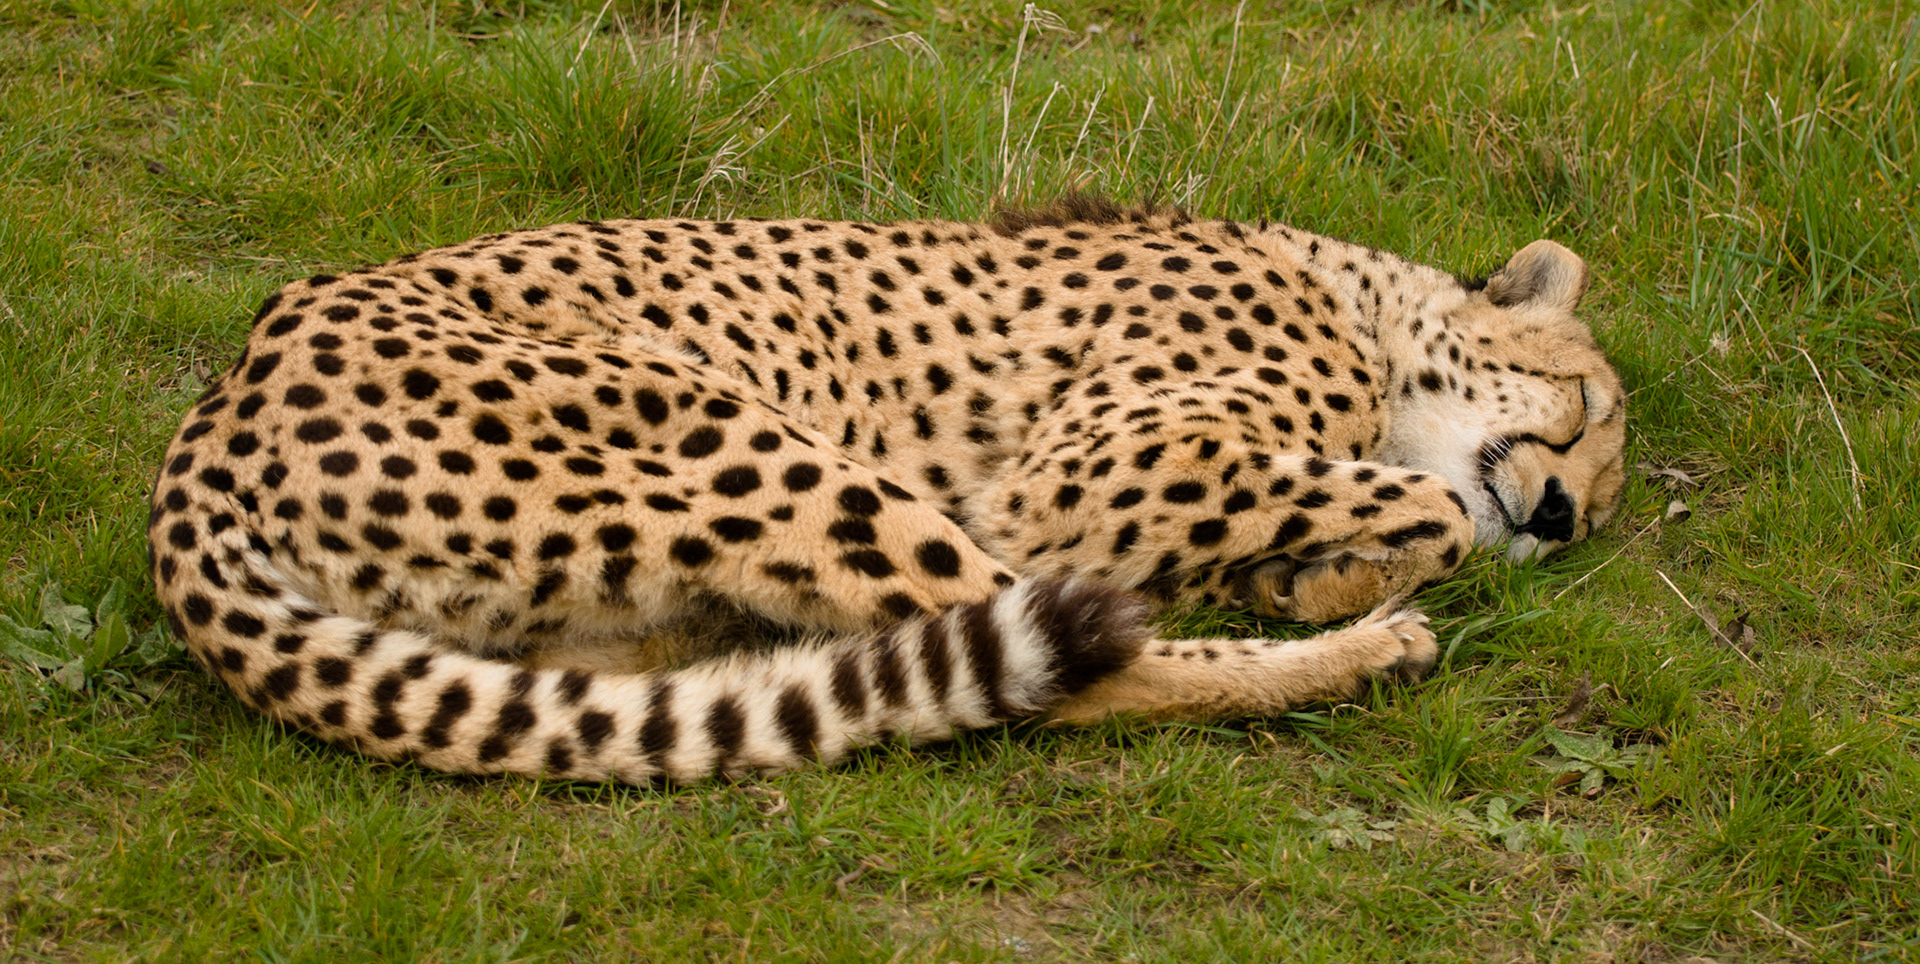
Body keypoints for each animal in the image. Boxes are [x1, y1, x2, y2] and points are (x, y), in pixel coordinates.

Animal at [146, 196, 1625, 785]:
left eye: (1596, 510)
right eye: (1588, 413)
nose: (1562, 517)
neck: (1354, 302)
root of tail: (215, 415)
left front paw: (1317, 570)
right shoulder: (1080, 476)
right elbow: (1439, 511)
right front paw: (1355, 578)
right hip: (745, 438)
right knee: (1070, 667)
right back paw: (1364, 654)